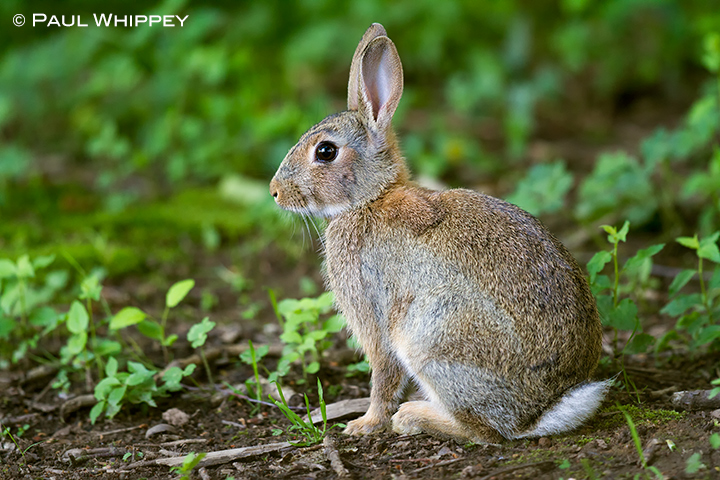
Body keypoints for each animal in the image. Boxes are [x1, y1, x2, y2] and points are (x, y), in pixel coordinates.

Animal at [269, 23, 610, 444]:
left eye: (326, 152)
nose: (275, 191)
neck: (370, 198)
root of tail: (543, 409)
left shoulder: (374, 313)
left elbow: (383, 373)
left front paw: (365, 424)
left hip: (431, 336)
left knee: (486, 431)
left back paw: (413, 416)